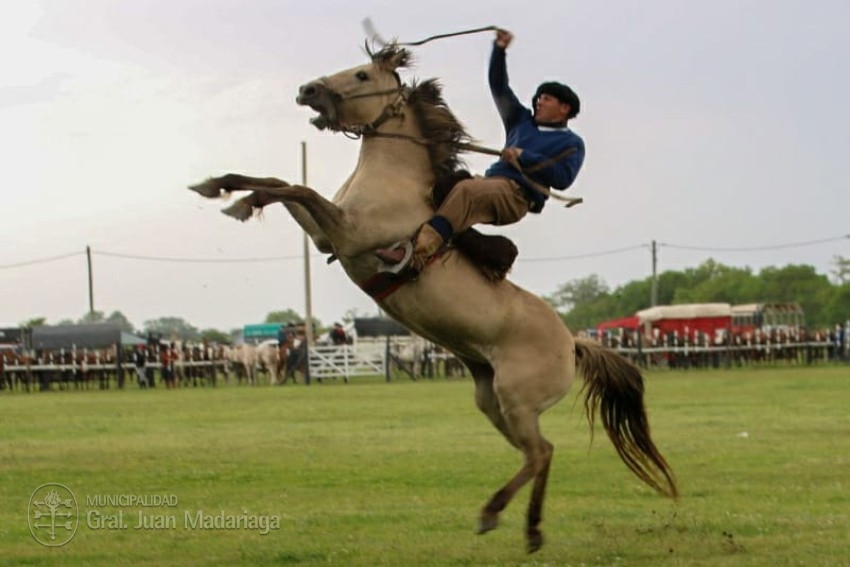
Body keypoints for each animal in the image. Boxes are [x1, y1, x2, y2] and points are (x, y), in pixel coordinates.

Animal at [187, 42, 676, 552]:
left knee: (540, 451)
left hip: (517, 400)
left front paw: (232, 198)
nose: (308, 90)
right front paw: (226, 191)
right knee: (538, 453)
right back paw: (529, 528)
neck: (393, 181)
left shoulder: (348, 234)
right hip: (491, 400)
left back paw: (497, 514)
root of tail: (573, 342)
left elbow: (297, 187)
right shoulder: (326, 237)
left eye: (361, 75)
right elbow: (281, 184)